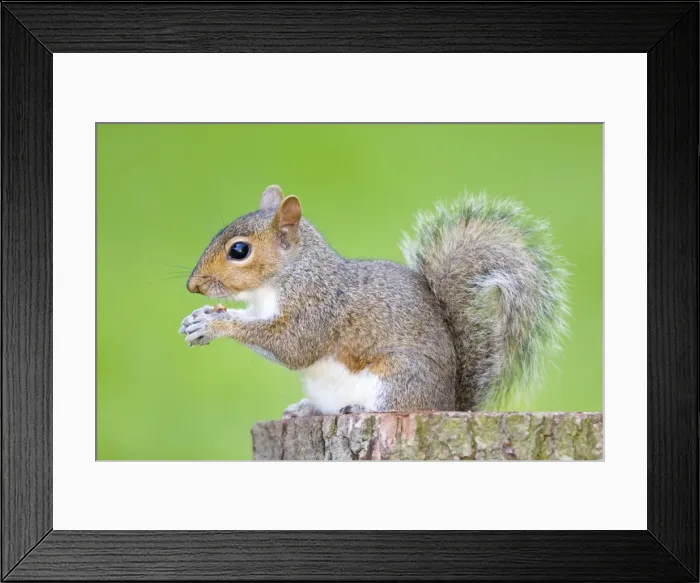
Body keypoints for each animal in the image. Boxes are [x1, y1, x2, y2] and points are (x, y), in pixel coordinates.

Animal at [179, 185, 568, 417]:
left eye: (239, 251)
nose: (192, 285)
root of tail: (448, 405)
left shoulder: (318, 307)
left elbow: (294, 347)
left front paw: (214, 324)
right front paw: (199, 316)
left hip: (396, 381)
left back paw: (362, 411)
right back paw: (307, 409)